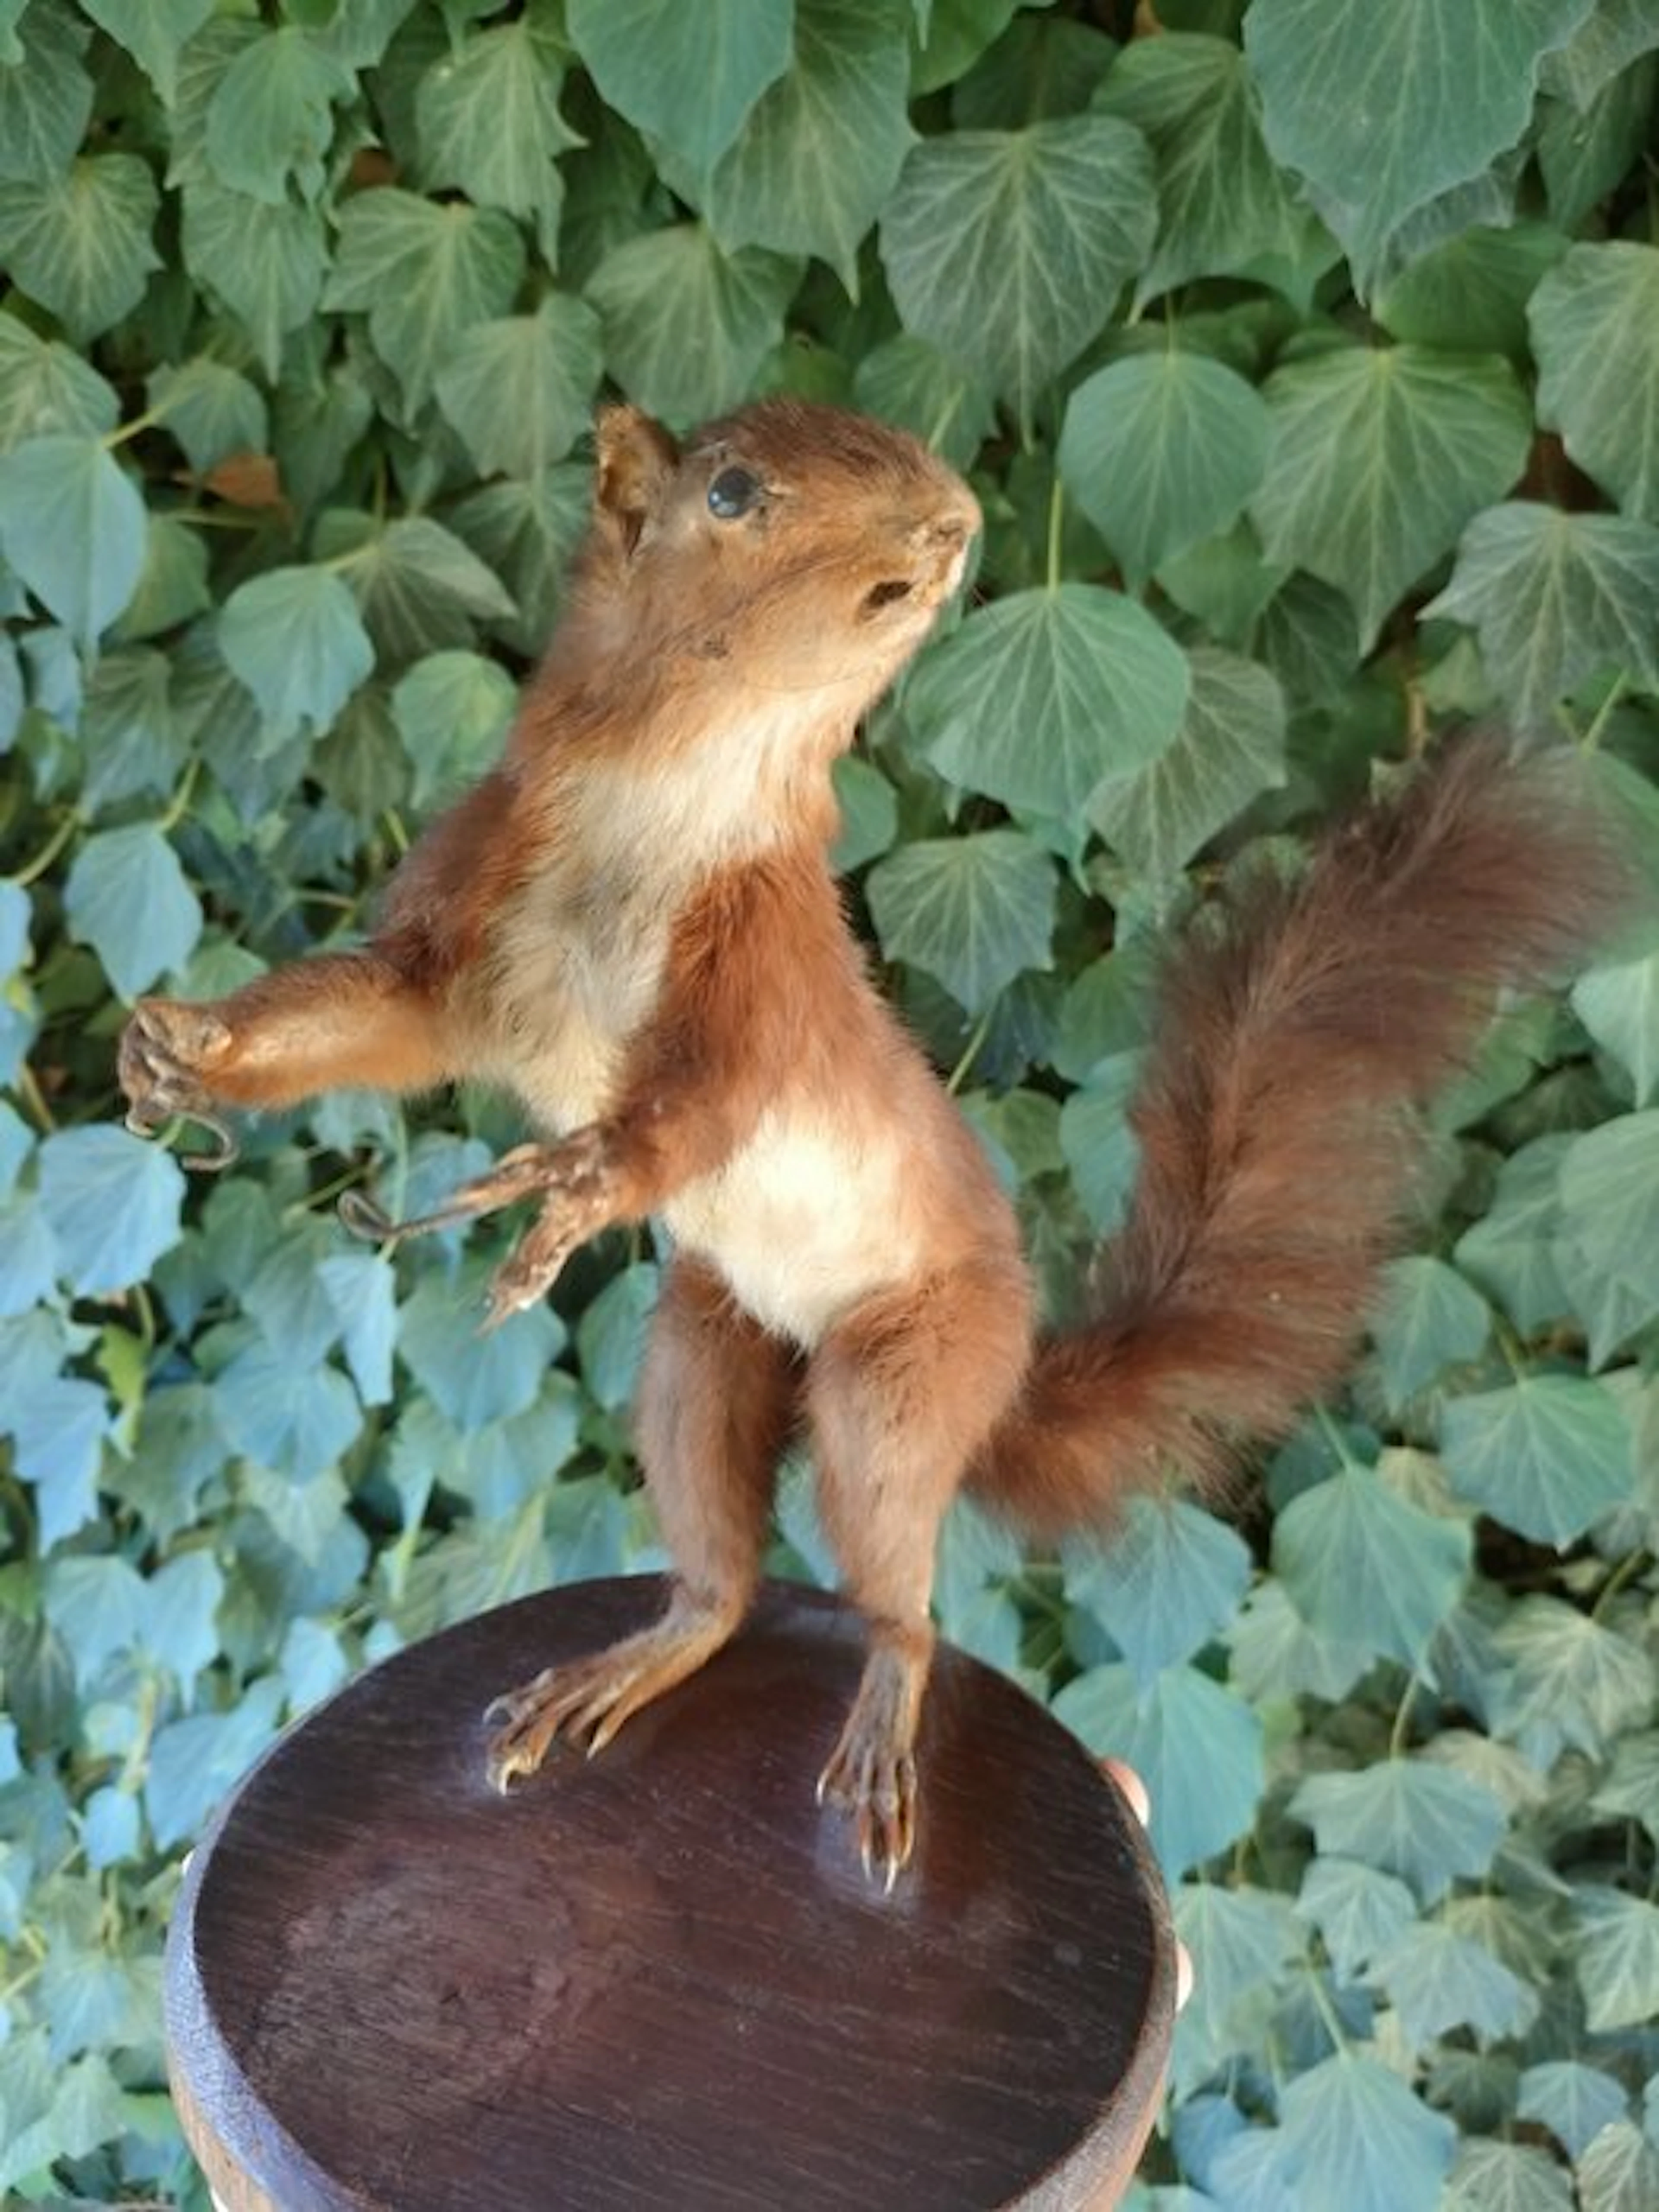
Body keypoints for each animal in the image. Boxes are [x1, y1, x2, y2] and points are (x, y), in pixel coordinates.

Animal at [120, 398, 1620, 1883]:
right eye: (731, 489)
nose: (953, 524)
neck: (677, 789)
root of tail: (997, 1378)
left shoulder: (764, 971)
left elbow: (694, 1115)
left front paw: (569, 1185)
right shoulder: (477, 893)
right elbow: (376, 1013)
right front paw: (184, 1046)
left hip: (896, 1380)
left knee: (902, 1601)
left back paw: (882, 1733)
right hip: (706, 1345)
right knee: (719, 1582)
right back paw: (627, 1663)